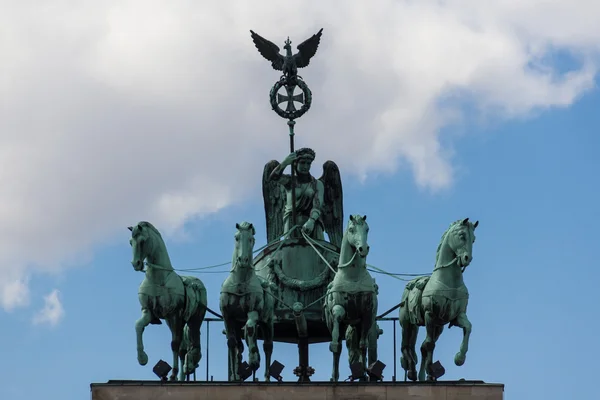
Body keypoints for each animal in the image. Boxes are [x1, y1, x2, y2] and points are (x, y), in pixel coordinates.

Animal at [127, 222, 207, 382]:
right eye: (130, 242)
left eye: (142, 241)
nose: (135, 264)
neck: (158, 278)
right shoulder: (148, 312)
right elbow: (138, 325)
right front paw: (142, 358)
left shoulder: (174, 314)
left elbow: (174, 344)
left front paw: (173, 373)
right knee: (182, 350)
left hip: (193, 320)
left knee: (189, 343)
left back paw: (186, 368)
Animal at [220, 222, 276, 382]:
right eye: (237, 237)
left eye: (251, 239)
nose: (243, 260)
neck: (240, 282)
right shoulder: (228, 317)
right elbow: (232, 342)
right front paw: (234, 375)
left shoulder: (253, 311)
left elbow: (251, 328)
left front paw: (253, 360)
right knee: (240, 344)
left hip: (267, 321)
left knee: (268, 346)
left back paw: (266, 376)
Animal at [324, 214, 376, 382]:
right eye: (352, 229)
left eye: (367, 229)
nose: (363, 249)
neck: (352, 276)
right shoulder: (337, 309)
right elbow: (336, 341)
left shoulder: (367, 315)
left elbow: (363, 345)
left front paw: (364, 375)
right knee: (338, 346)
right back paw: (334, 377)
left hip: (358, 325)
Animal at [398, 219, 478, 382]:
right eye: (462, 235)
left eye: (473, 239)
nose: (467, 259)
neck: (450, 282)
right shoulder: (430, 313)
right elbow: (429, 344)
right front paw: (429, 369)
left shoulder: (457, 316)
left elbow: (468, 327)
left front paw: (459, 358)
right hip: (407, 323)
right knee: (406, 346)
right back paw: (412, 371)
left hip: (438, 327)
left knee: (419, 347)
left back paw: (423, 376)